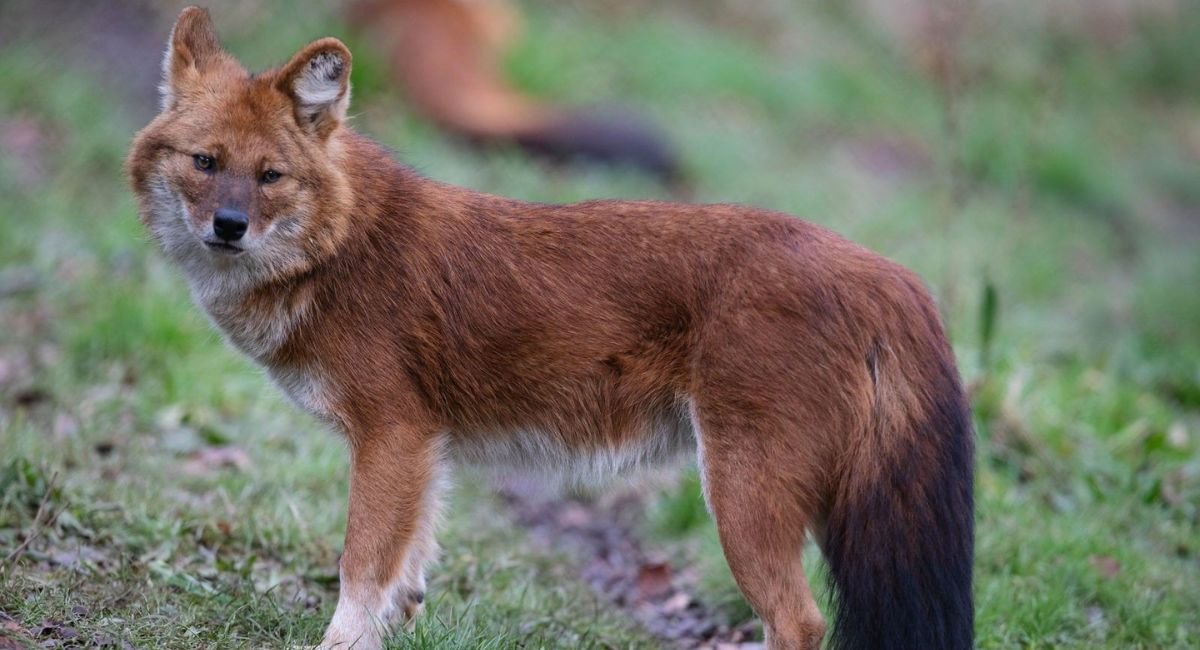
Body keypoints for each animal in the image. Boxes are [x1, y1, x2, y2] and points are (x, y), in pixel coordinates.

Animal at [127, 7, 974, 650]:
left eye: (270, 175)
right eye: (205, 162)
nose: (228, 227)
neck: (341, 249)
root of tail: (886, 272)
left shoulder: (391, 432)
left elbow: (360, 568)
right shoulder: (422, 445)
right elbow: (407, 568)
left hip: (745, 491)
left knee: (800, 622)